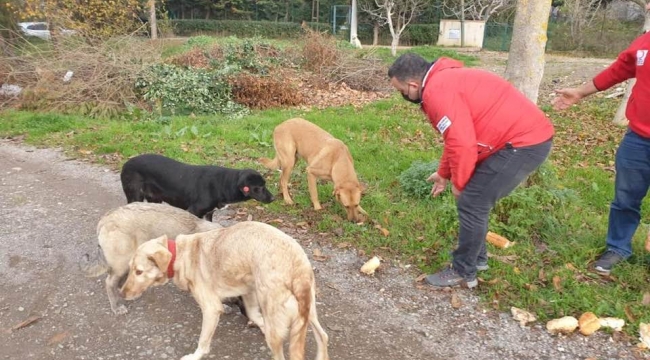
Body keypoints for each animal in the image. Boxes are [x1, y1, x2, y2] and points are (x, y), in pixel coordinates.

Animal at [119, 153, 274, 218]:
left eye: (264, 184)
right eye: (259, 187)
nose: (273, 199)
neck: (223, 184)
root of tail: (126, 163)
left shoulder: (209, 213)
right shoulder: (193, 211)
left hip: (154, 199)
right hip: (135, 195)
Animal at [120, 221, 330, 360]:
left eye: (138, 271)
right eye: (130, 269)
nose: (122, 293)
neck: (180, 254)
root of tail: (295, 266)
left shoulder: (212, 309)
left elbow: (203, 343)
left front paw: (194, 355)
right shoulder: (249, 295)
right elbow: (254, 316)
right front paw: (259, 325)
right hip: (308, 311)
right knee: (323, 336)